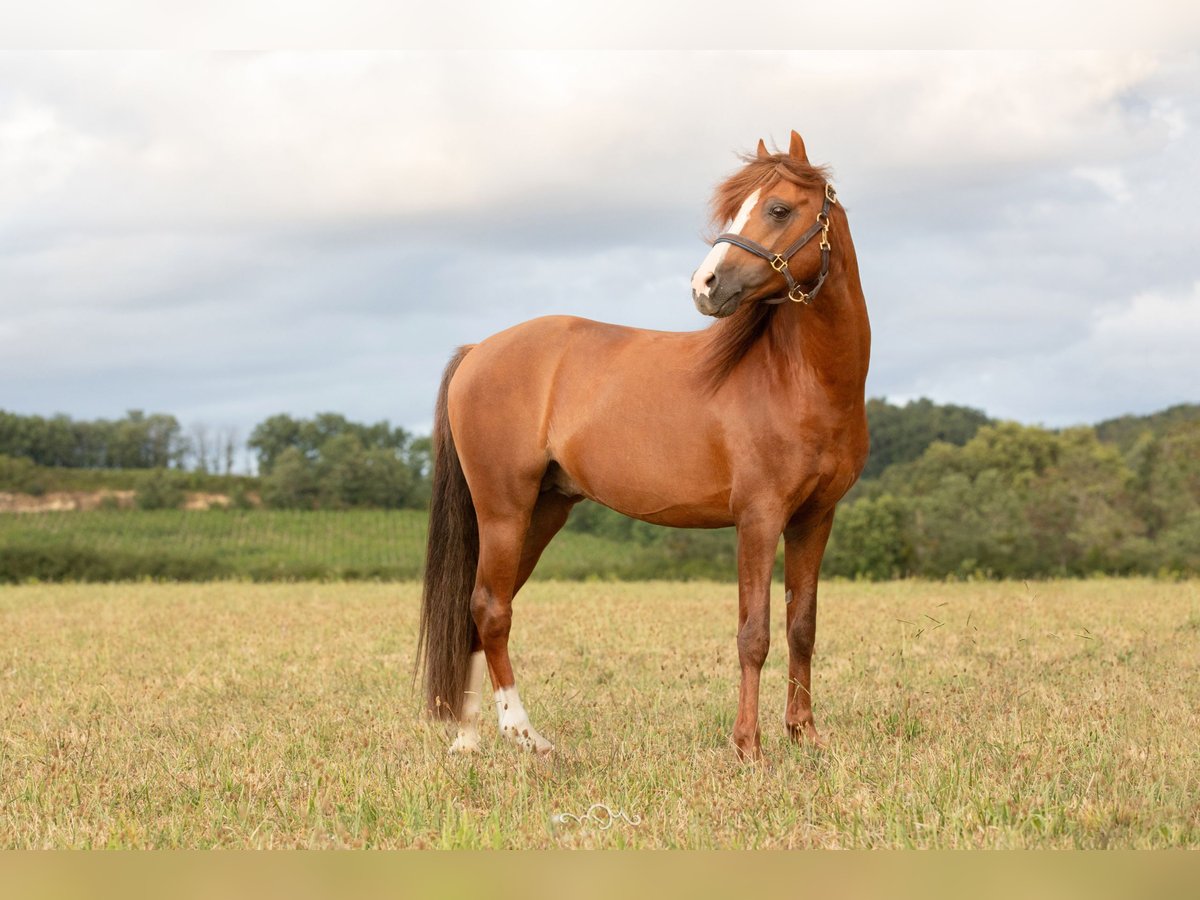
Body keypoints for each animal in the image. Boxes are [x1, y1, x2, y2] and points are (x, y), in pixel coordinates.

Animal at [417, 132, 868, 763]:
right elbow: (753, 633)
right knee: (491, 608)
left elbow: (801, 625)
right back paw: (525, 734)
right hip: (504, 509)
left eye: (779, 209)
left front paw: (804, 735)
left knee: (477, 612)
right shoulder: (758, 518)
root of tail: (479, 349)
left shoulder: (814, 518)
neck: (800, 381)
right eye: (735, 208)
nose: (705, 286)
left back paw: (468, 737)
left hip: (544, 510)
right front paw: (748, 747)